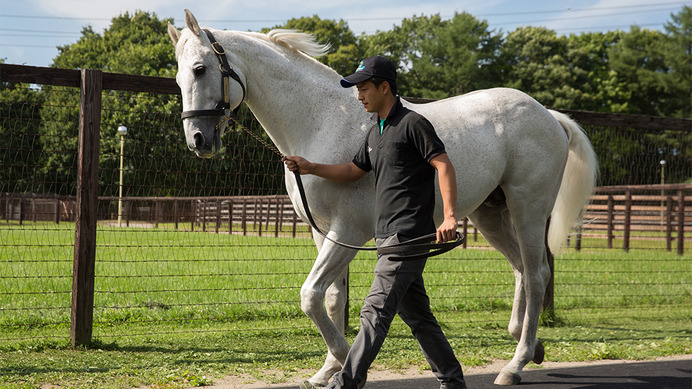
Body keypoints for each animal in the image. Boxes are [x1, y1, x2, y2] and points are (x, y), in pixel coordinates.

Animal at [169, 9, 600, 384]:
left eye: (200, 69)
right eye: (177, 76)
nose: (197, 140)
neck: (322, 122)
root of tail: (548, 115)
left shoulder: (349, 231)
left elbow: (310, 295)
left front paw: (346, 361)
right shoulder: (324, 233)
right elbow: (331, 299)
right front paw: (327, 370)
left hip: (528, 209)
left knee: (538, 274)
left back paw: (515, 364)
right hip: (490, 215)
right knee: (522, 271)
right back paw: (531, 346)